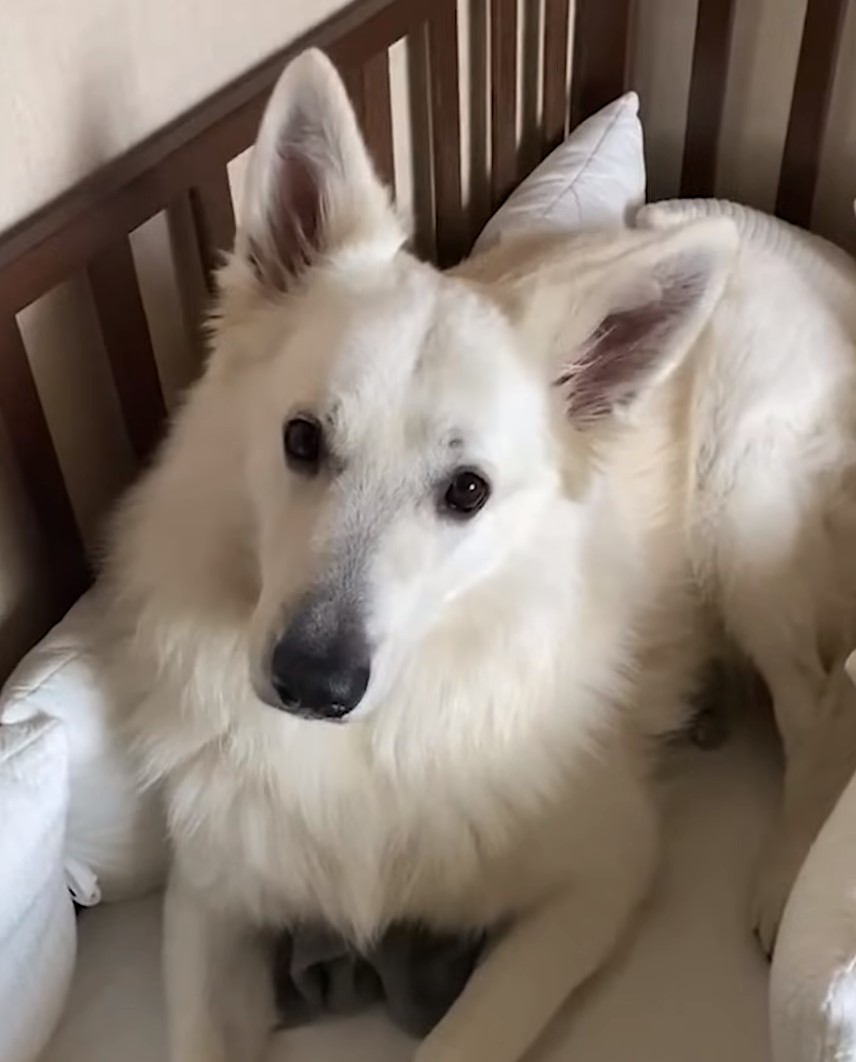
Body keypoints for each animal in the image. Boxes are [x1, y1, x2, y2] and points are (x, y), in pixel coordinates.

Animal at [105, 47, 856, 1062]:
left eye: (467, 492)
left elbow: (466, 1035)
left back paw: (786, 879)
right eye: (302, 439)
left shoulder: (598, 877)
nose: (312, 684)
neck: (376, 738)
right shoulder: (210, 894)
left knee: (820, 707)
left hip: (743, 522)